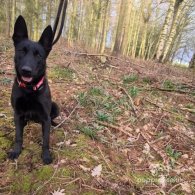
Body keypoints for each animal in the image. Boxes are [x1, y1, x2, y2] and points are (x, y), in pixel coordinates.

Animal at [7, 15, 59, 165]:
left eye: (38, 55)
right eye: (21, 51)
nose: (26, 71)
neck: (29, 90)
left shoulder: (45, 118)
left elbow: (46, 140)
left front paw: (46, 155)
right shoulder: (18, 113)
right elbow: (18, 136)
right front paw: (16, 151)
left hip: (55, 107)